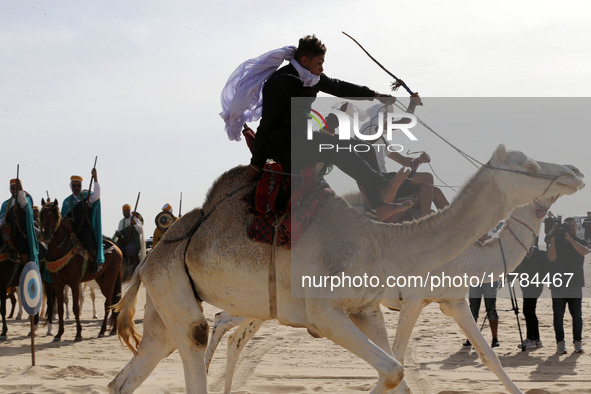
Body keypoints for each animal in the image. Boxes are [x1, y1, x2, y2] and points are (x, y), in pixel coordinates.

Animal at [39, 199, 122, 340]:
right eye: (43, 214)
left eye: (54, 215)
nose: (46, 235)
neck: (62, 249)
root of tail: (117, 248)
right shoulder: (58, 284)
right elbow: (60, 308)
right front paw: (59, 333)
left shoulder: (74, 283)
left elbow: (75, 308)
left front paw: (78, 333)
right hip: (102, 280)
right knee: (112, 301)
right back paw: (112, 330)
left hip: (111, 278)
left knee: (108, 302)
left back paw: (103, 330)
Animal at [206, 193, 576, 390]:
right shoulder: (414, 300)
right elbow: (396, 355)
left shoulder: (454, 302)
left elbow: (489, 356)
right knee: (223, 320)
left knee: (233, 332)